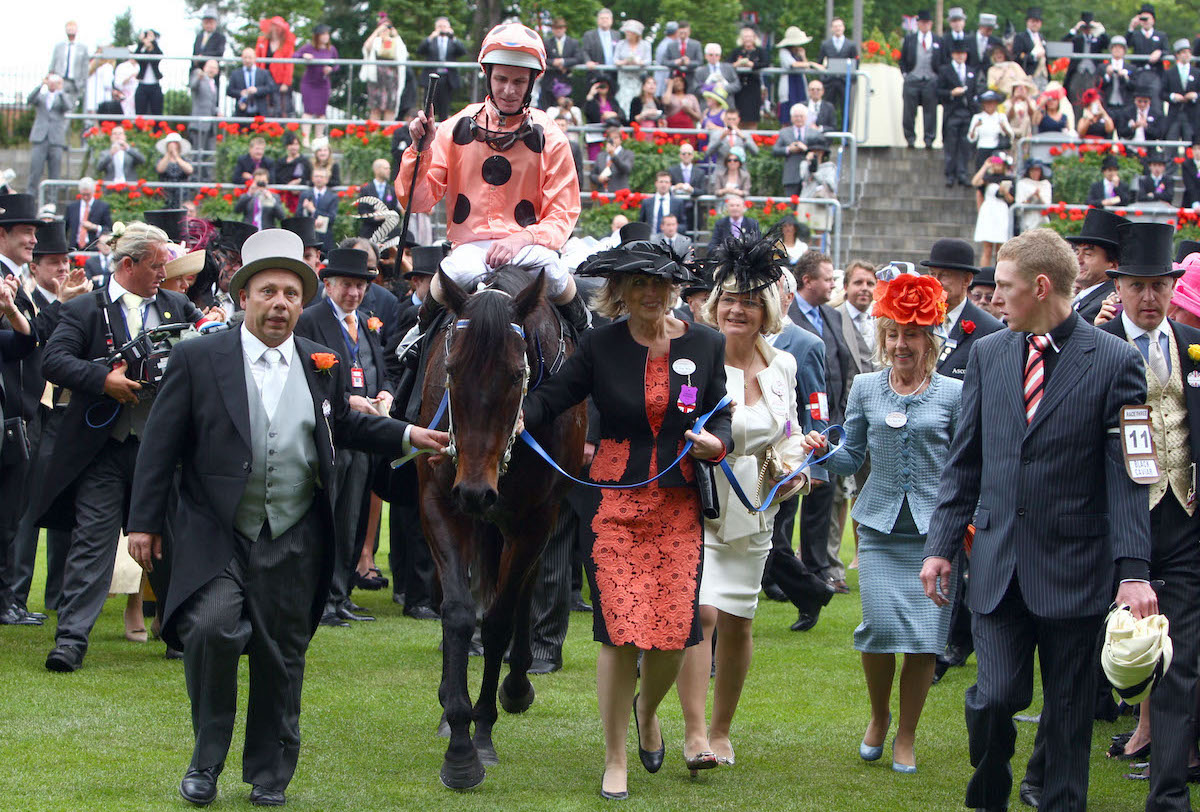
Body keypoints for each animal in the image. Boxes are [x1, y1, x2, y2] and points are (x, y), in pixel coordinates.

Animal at [415, 268, 588, 786]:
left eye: (515, 375)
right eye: (451, 371)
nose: (475, 492)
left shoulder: (533, 519)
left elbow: (497, 621)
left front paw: (480, 735)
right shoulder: (439, 501)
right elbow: (457, 612)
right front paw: (456, 730)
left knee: (522, 591)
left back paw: (516, 685)